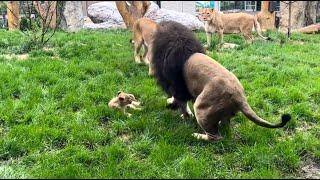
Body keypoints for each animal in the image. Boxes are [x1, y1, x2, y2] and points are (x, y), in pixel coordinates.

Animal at [150, 21, 290, 141]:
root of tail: (240, 96)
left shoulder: (177, 86)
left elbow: (182, 104)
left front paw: (183, 114)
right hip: (223, 113)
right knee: (225, 127)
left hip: (201, 108)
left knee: (215, 137)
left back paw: (197, 135)